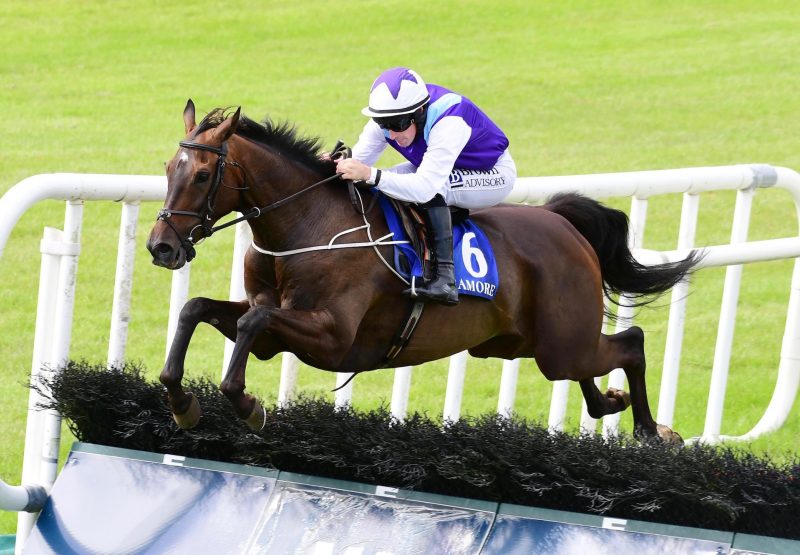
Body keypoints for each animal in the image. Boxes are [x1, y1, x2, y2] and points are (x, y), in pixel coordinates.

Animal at [145, 100, 700, 446]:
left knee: (631, 342)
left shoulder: (331, 337)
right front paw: (181, 402)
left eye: (201, 174)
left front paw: (247, 405)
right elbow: (198, 310)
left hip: (559, 343)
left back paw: (653, 430)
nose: (161, 246)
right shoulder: (271, 323)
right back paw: (610, 401)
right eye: (168, 169)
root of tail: (563, 223)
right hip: (523, 343)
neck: (306, 224)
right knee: (598, 362)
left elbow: (249, 324)